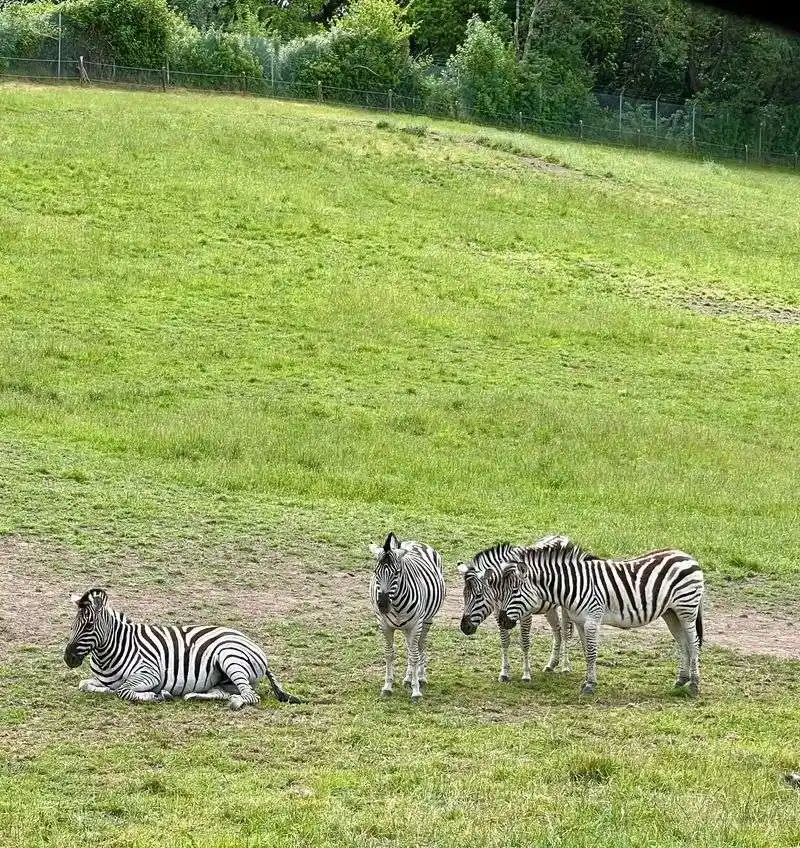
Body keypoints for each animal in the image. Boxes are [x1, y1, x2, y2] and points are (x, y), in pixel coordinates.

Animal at [64, 588, 301, 710]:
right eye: (73, 624)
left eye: (89, 625)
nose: (68, 659)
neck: (114, 649)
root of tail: (251, 642)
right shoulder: (102, 681)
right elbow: (86, 685)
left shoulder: (150, 674)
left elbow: (124, 691)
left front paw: (156, 696)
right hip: (224, 679)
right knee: (223, 692)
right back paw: (193, 696)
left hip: (230, 657)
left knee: (250, 696)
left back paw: (235, 703)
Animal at [369, 532, 446, 702]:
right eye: (376, 572)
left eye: (396, 573)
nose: (382, 605)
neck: (396, 604)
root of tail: (414, 542)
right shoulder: (384, 625)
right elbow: (389, 654)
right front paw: (387, 686)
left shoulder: (415, 625)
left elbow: (414, 656)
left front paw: (416, 691)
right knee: (411, 648)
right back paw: (408, 678)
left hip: (426, 621)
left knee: (419, 646)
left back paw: (420, 678)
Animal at [457, 541, 573, 682]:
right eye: (464, 595)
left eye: (479, 596)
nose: (464, 627)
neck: (503, 589)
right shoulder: (498, 612)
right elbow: (504, 641)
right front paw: (504, 673)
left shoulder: (526, 614)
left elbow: (524, 643)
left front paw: (526, 674)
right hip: (549, 608)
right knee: (557, 631)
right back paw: (551, 664)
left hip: (566, 605)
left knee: (566, 632)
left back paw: (565, 667)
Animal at [497, 535, 704, 696]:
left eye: (514, 591)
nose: (501, 620)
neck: (574, 584)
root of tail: (688, 556)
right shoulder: (580, 622)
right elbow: (585, 652)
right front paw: (587, 681)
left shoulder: (592, 620)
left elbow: (591, 652)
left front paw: (590, 685)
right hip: (671, 613)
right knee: (684, 643)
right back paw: (681, 680)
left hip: (686, 609)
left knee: (693, 643)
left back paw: (694, 685)